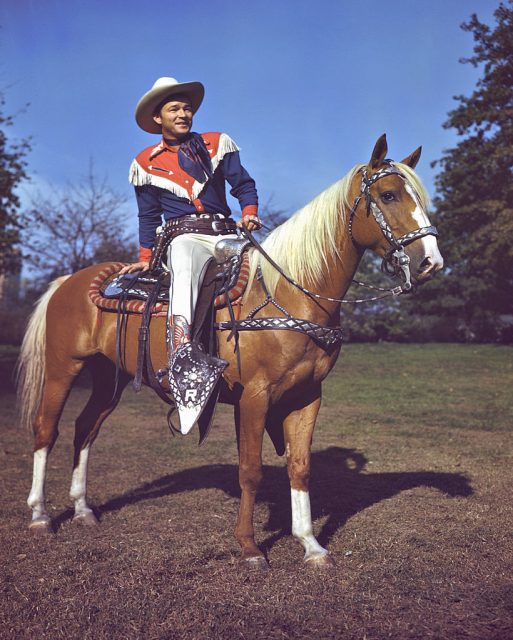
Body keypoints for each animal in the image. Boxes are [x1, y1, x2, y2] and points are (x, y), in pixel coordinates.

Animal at [16, 135, 440, 564]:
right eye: (388, 195)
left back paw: (83, 510)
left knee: (85, 428)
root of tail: (69, 281)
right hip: (63, 370)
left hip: (108, 379)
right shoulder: (254, 397)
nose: (430, 263)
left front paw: (310, 544)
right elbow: (250, 470)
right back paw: (40, 516)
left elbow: (300, 467)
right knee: (46, 429)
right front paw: (250, 546)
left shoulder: (307, 396)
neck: (290, 292)